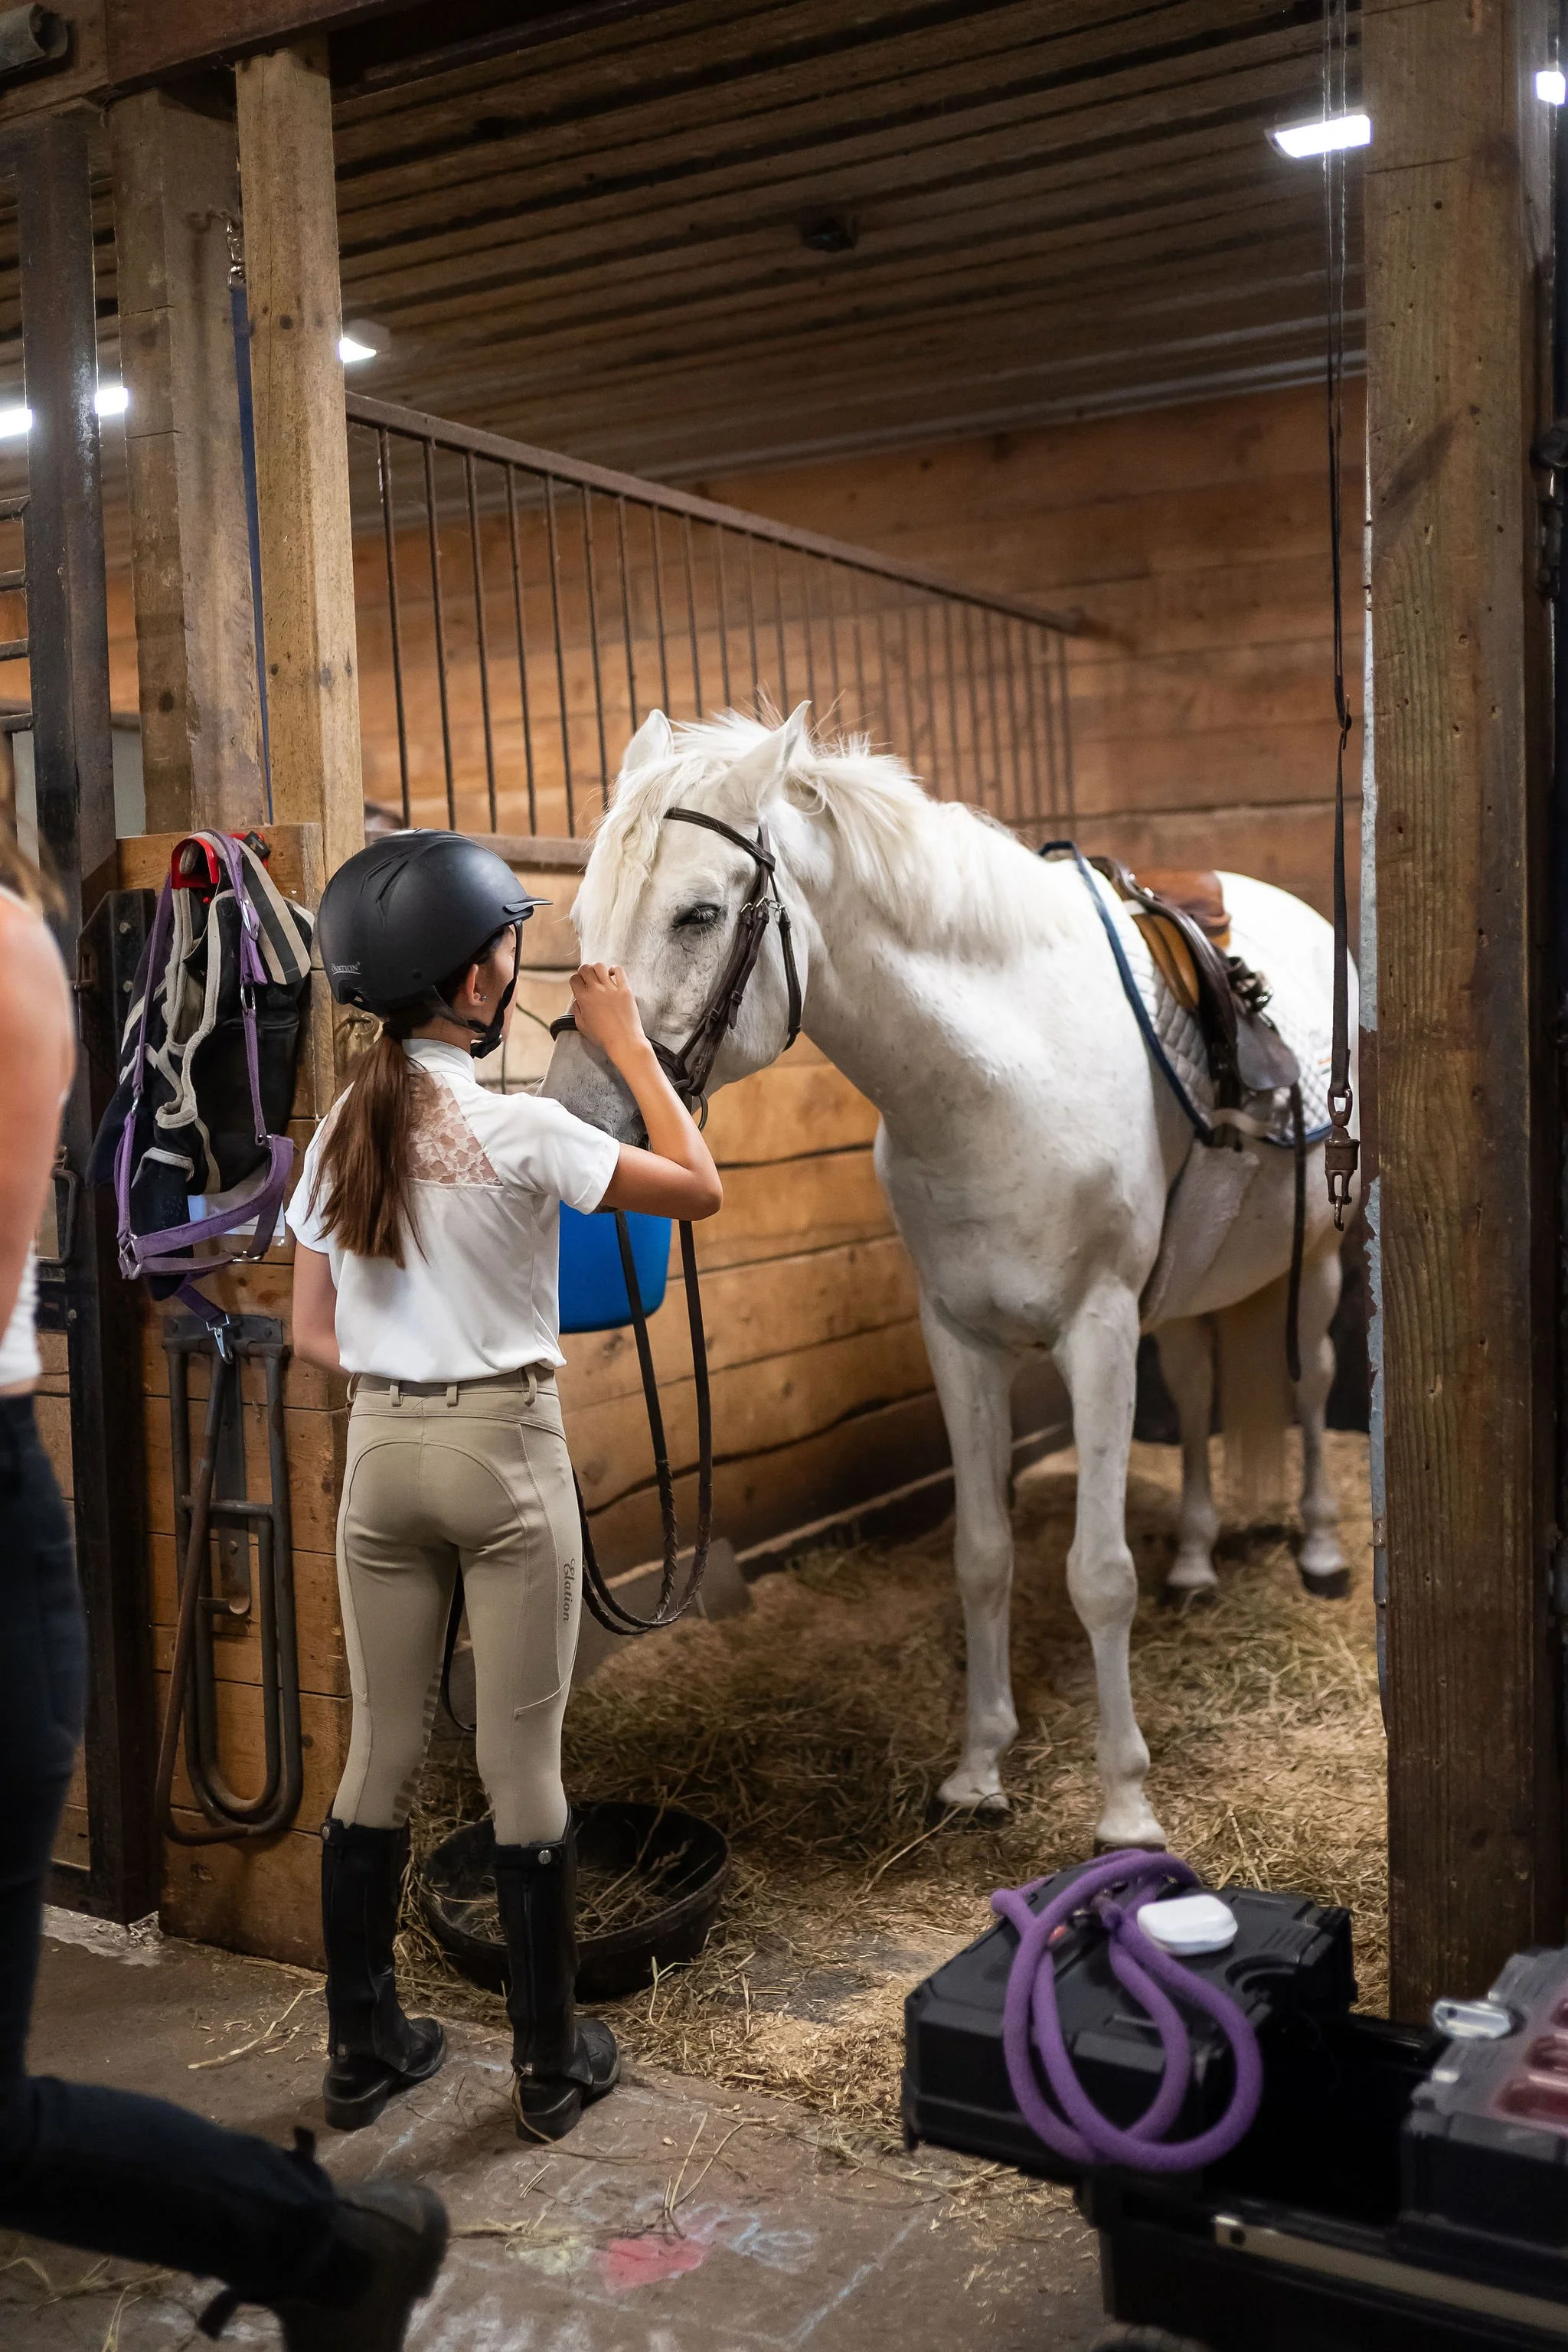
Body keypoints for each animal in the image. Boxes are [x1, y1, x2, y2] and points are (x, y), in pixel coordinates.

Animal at [542, 705, 1357, 1848]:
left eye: (698, 913)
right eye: (585, 916)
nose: (575, 1118)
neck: (999, 1078)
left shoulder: (1098, 1332)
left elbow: (1098, 1575)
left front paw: (1124, 1809)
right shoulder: (959, 1337)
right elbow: (983, 1555)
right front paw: (978, 1774)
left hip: (1318, 1262)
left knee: (1314, 1383)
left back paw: (1321, 1553)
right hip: (1185, 1292)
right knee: (1198, 1394)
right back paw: (1195, 1563)